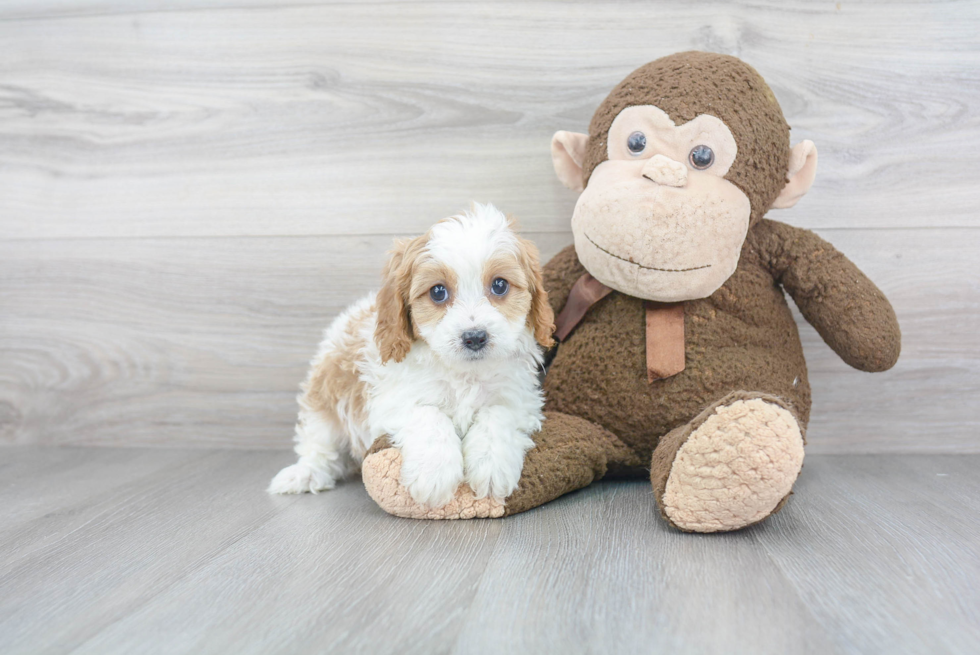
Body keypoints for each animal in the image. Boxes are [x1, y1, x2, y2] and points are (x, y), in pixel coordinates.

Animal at [268, 204, 556, 508]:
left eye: (500, 285)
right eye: (438, 292)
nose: (475, 337)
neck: (464, 373)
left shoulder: (520, 397)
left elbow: (497, 414)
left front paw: (491, 466)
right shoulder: (392, 399)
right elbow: (429, 414)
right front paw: (434, 474)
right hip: (324, 400)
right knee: (318, 446)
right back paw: (305, 474)